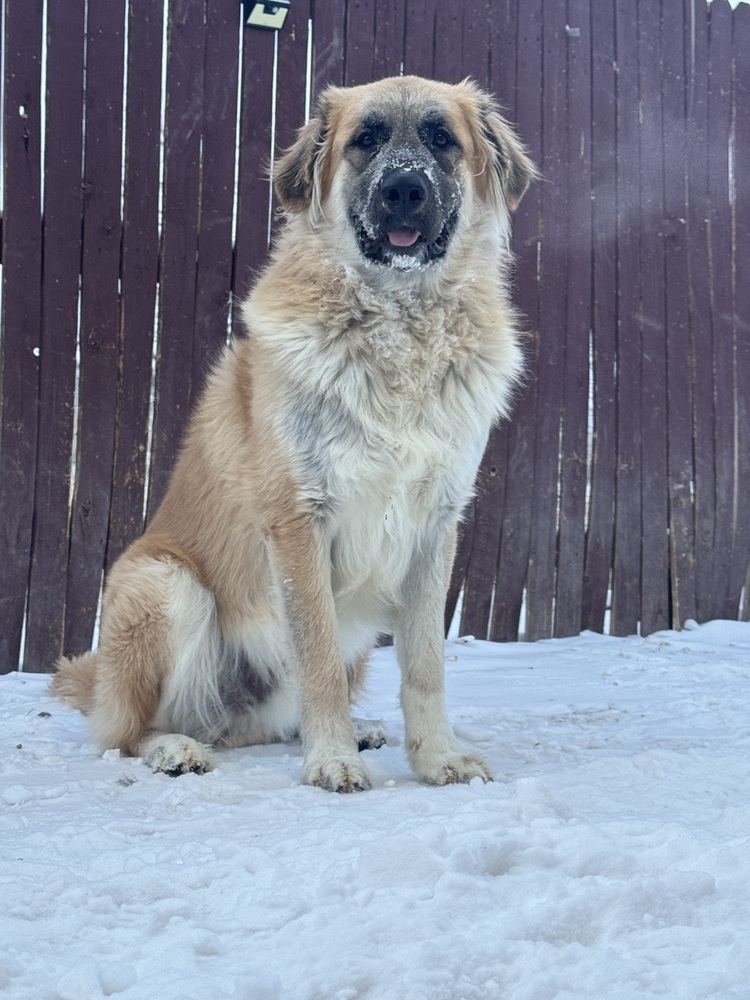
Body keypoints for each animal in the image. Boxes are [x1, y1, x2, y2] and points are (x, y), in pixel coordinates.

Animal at [53, 76, 536, 788]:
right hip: (164, 584)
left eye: (441, 138)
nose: (404, 189)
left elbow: (425, 664)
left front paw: (436, 757)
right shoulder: (299, 520)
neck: (400, 324)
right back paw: (175, 749)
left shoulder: (434, 525)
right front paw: (331, 761)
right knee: (127, 731)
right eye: (365, 140)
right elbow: (318, 658)